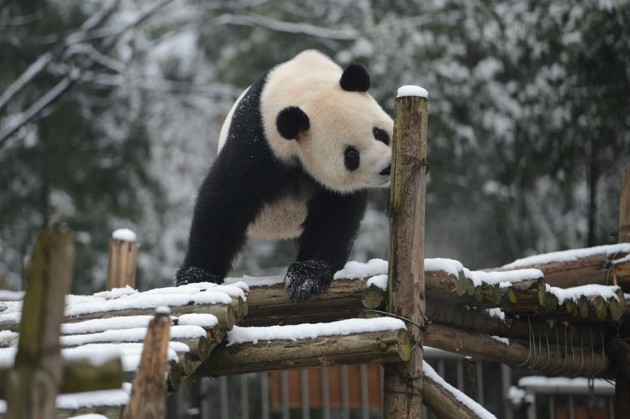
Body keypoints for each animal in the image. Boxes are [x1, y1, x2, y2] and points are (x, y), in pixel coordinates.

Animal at [178, 50, 392, 304]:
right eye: (351, 155)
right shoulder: (258, 142)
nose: (386, 167)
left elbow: (335, 213)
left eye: (379, 133)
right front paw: (197, 279)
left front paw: (305, 278)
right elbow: (225, 199)